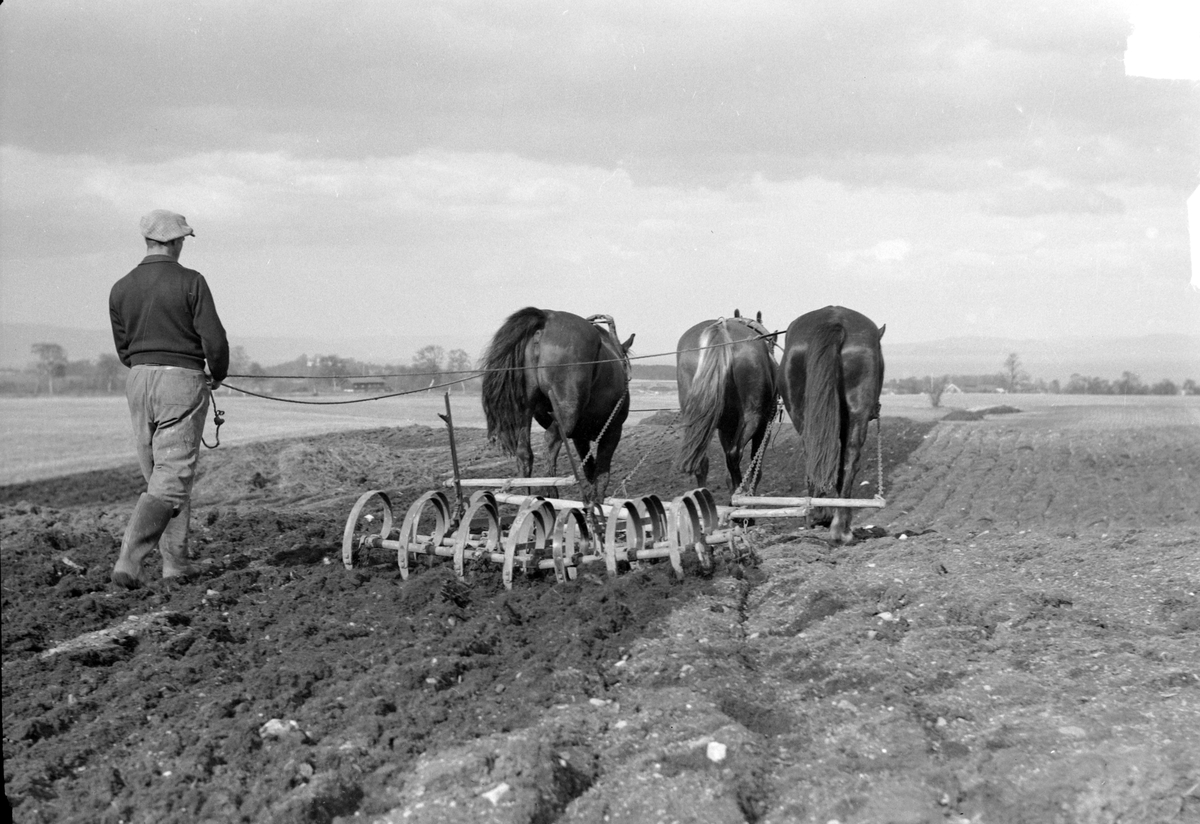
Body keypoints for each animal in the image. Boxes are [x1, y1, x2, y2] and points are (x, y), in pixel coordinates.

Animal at [477, 305, 633, 532]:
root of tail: (545, 317)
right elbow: (601, 475)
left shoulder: (580, 438)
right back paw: (551, 498)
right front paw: (598, 515)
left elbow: (590, 470)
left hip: (526, 408)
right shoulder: (612, 432)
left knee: (525, 453)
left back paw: (529, 506)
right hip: (566, 413)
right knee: (550, 443)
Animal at [676, 311, 777, 498]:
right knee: (734, 454)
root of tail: (720, 329)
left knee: (702, 461)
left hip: (694, 419)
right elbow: (755, 466)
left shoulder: (725, 429)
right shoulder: (764, 425)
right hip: (752, 417)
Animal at [772, 305, 888, 544]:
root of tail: (835, 320)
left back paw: (822, 517)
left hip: (803, 414)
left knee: (816, 455)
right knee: (849, 461)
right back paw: (840, 527)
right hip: (856, 413)